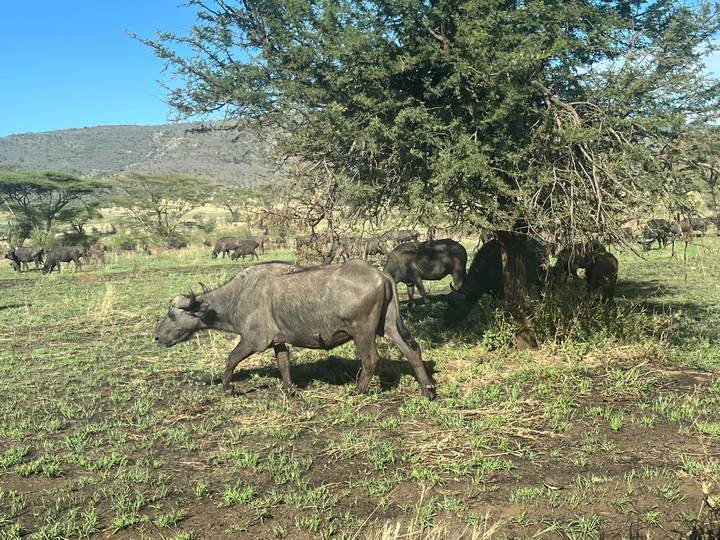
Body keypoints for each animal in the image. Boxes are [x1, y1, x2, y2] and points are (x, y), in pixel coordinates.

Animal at [154, 260, 436, 399]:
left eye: (171, 314)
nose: (157, 336)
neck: (238, 296)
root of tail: (381, 275)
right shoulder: (278, 342)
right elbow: (284, 365)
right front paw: (289, 391)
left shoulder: (253, 340)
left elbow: (231, 359)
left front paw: (227, 388)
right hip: (388, 326)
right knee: (412, 350)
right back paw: (427, 390)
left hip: (362, 332)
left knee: (371, 359)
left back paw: (357, 391)